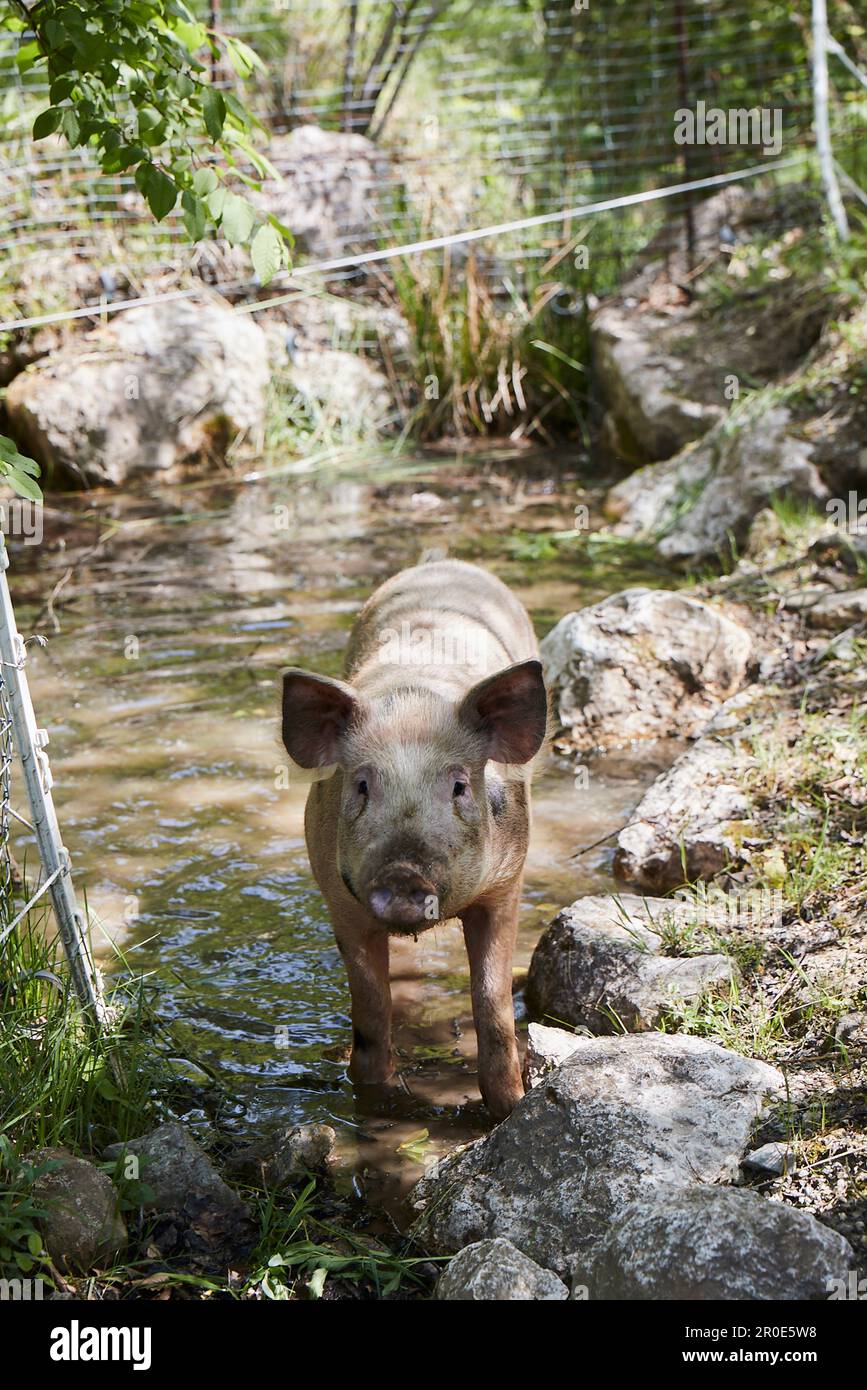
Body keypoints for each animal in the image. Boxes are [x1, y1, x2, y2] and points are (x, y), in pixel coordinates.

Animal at [280, 558, 548, 1119]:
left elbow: (492, 1001)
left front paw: (508, 1108)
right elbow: (369, 1005)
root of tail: (443, 561)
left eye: (459, 785)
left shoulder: (507, 882)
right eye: (362, 784)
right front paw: (377, 1101)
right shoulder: (338, 897)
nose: (403, 873)